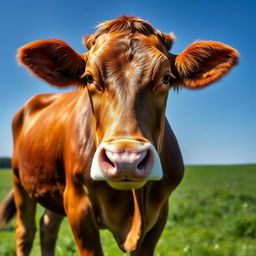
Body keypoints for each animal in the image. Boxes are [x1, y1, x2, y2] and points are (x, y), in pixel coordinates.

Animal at [0, 16, 238, 256]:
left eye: (166, 78)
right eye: (89, 78)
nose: (126, 160)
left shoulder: (160, 212)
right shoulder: (78, 203)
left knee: (48, 226)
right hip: (19, 180)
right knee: (26, 231)